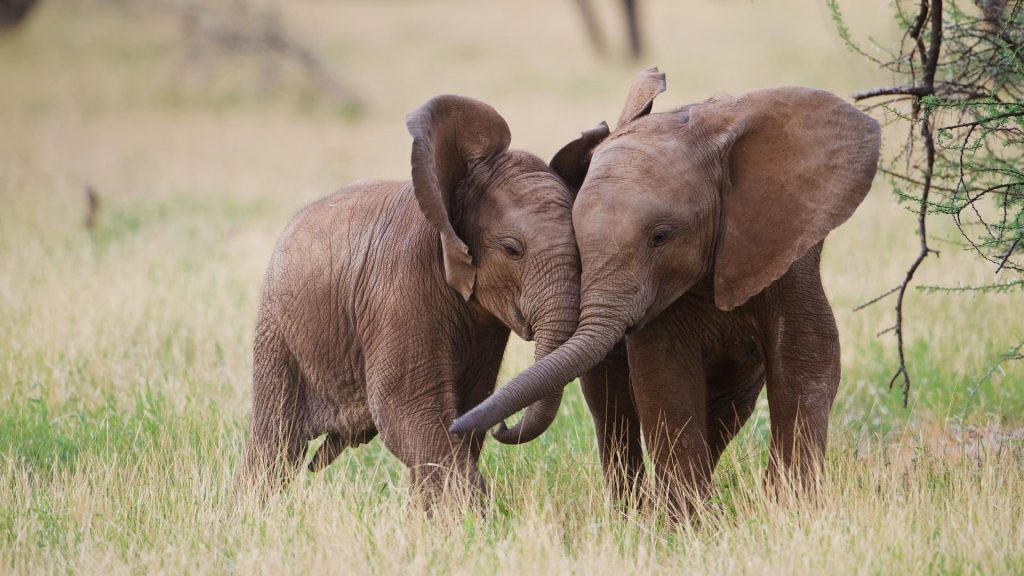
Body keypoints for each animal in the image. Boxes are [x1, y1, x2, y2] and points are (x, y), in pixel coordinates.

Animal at [235, 95, 581, 502]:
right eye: (513, 250)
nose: (505, 428)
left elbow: (465, 410)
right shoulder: (400, 291)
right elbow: (409, 413)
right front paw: (474, 513)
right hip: (279, 329)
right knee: (276, 442)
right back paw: (249, 509)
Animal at [452, 68, 884, 510]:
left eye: (660, 237)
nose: (496, 427)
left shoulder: (787, 249)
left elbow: (807, 356)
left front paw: (790, 508)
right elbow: (665, 374)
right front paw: (687, 520)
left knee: (728, 407)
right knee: (612, 405)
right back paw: (634, 510)